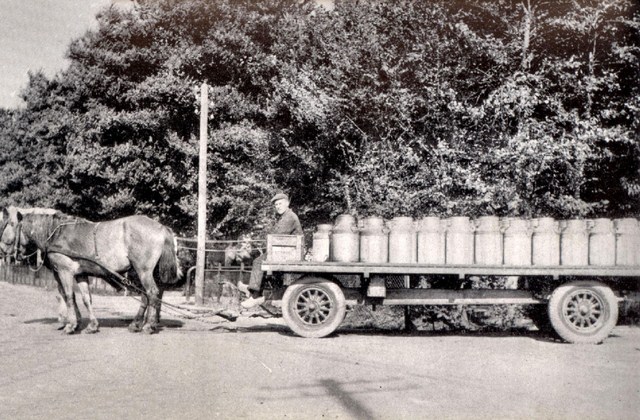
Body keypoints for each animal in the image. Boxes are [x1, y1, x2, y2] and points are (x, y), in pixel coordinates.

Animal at [0, 208, 182, 334]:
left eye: (11, 225)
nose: (2, 250)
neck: (56, 234)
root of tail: (161, 227)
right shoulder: (81, 274)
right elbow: (86, 299)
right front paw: (91, 325)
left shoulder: (64, 271)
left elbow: (68, 296)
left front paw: (70, 325)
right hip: (146, 272)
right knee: (148, 295)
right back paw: (137, 323)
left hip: (143, 270)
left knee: (152, 293)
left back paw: (148, 325)